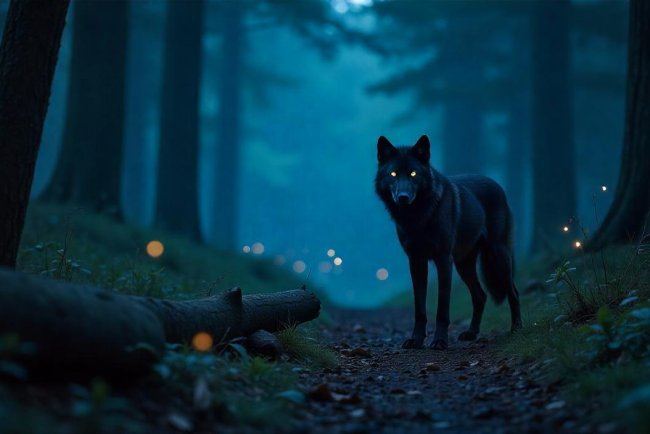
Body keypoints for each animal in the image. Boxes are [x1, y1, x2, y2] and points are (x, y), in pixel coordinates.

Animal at [375, 135, 522, 350]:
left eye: (413, 173)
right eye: (393, 174)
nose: (403, 197)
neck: (418, 217)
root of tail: (496, 183)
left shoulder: (443, 260)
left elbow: (442, 309)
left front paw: (440, 341)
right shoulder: (416, 262)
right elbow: (420, 309)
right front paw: (416, 340)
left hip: (498, 257)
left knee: (514, 292)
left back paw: (516, 328)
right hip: (464, 265)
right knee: (480, 296)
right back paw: (471, 333)